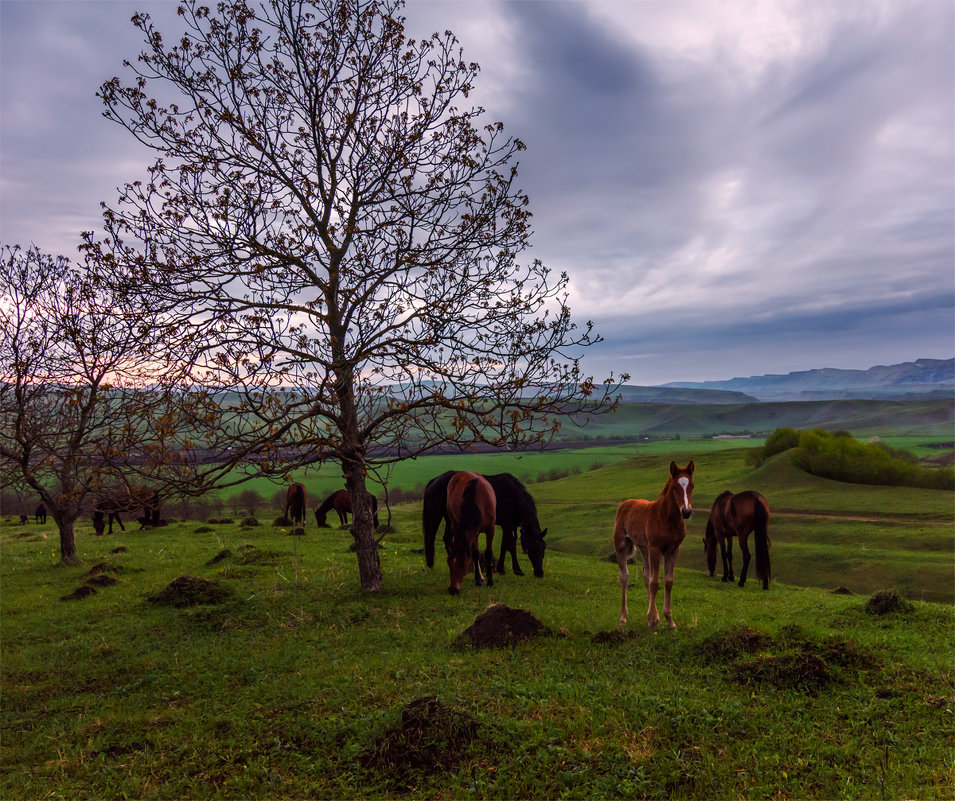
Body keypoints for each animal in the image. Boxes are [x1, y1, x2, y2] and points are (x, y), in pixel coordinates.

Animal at [612, 462, 696, 632]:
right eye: (675, 488)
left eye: (692, 486)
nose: (686, 511)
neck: (666, 519)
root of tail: (625, 503)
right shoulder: (656, 549)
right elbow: (655, 582)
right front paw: (651, 622)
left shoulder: (673, 550)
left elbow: (668, 581)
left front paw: (669, 621)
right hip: (622, 545)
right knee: (624, 576)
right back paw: (623, 618)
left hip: (645, 548)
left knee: (646, 576)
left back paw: (656, 617)